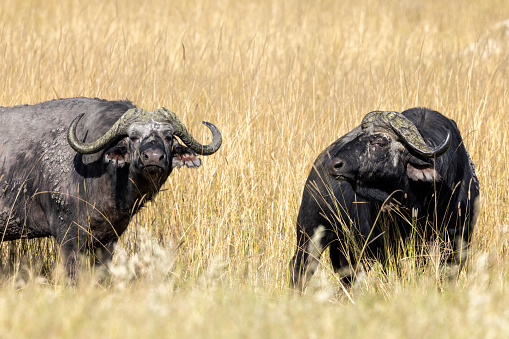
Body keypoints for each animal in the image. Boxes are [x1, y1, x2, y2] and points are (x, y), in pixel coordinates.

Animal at [292, 108, 478, 292]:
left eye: (380, 142)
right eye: (359, 137)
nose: (334, 164)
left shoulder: (458, 240)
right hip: (310, 236)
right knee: (301, 268)